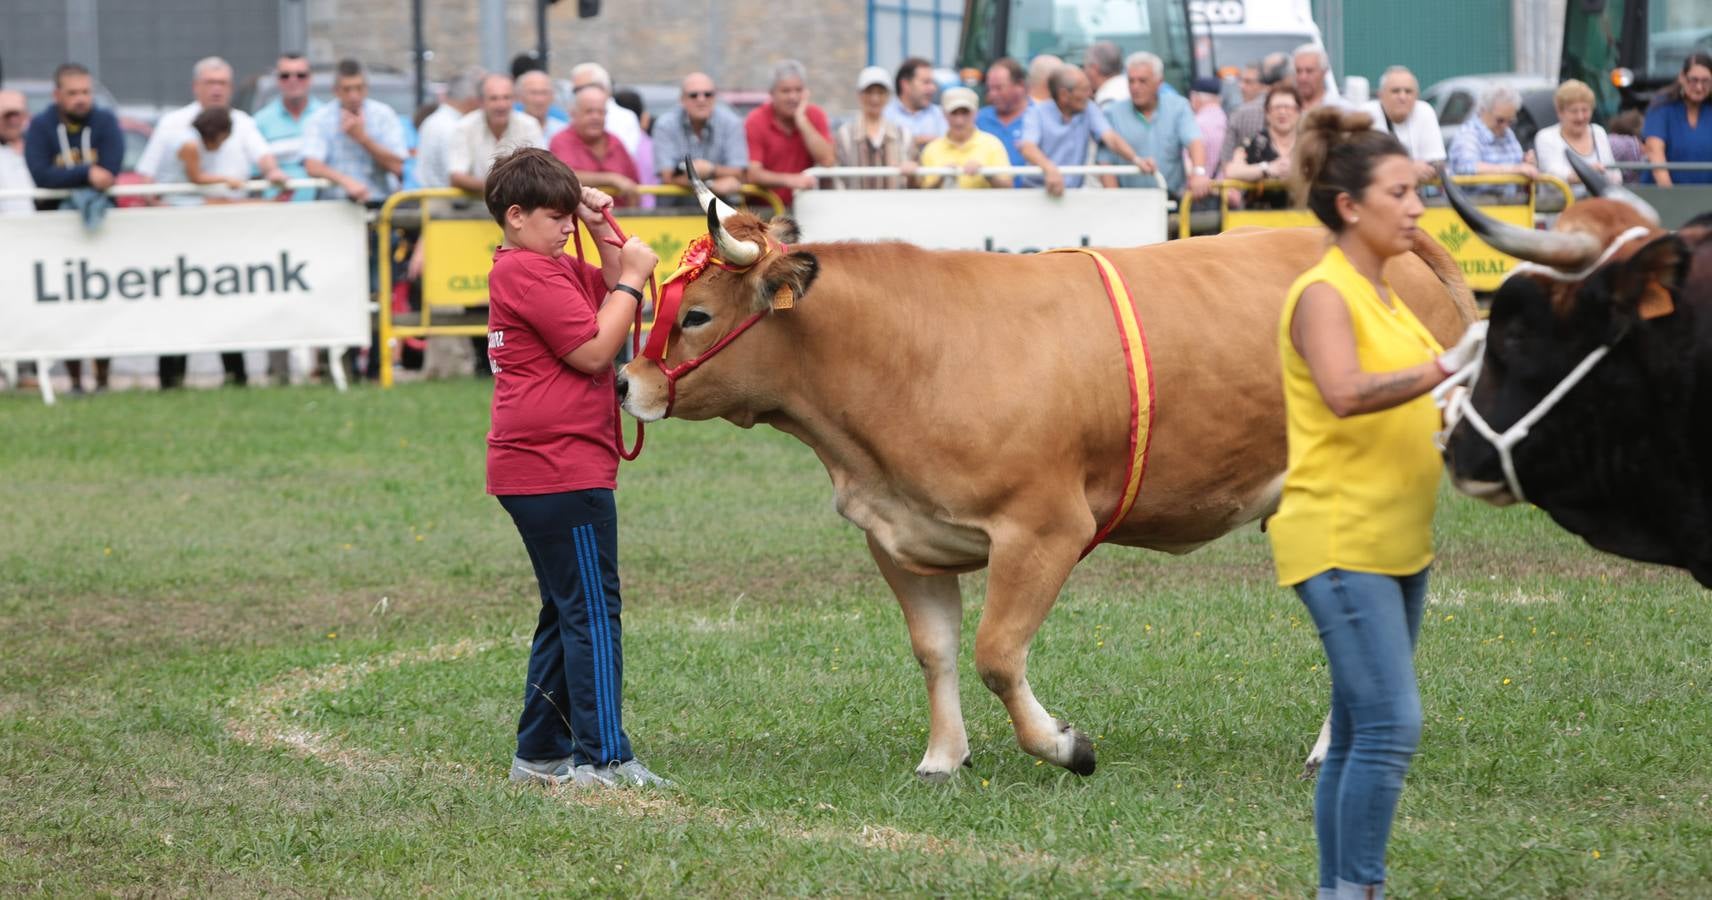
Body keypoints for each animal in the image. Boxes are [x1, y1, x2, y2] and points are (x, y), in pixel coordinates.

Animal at [623, 183, 1479, 783]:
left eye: (695, 316)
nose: (628, 384)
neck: (910, 357)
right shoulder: (896, 535)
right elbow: (934, 649)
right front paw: (943, 757)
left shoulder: (1044, 528)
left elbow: (998, 653)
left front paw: (1066, 745)